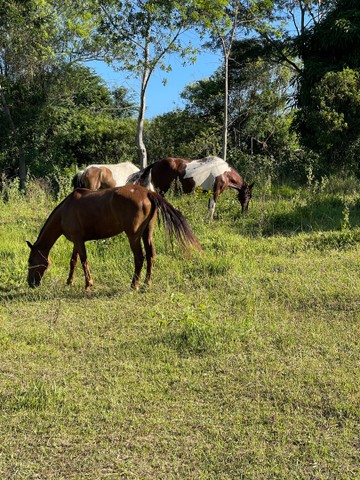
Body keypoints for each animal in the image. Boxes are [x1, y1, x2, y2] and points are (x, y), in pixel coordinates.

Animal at [27, 184, 202, 290]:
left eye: (30, 261)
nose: (30, 283)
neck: (65, 210)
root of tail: (147, 192)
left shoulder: (78, 240)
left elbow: (83, 261)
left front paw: (88, 284)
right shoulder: (77, 241)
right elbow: (73, 261)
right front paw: (69, 282)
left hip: (133, 236)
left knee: (139, 257)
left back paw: (134, 285)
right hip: (147, 233)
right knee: (150, 255)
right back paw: (146, 283)